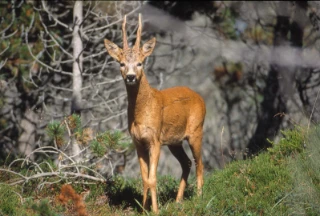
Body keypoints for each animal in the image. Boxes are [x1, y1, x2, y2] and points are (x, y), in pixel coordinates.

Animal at [104, 13, 206, 214]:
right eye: (121, 63)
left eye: (140, 63)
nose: (130, 76)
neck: (141, 114)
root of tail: (200, 98)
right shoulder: (138, 142)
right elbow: (145, 179)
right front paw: (144, 209)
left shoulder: (155, 140)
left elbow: (152, 178)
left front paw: (155, 211)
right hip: (175, 141)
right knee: (187, 162)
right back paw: (178, 200)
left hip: (196, 131)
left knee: (200, 163)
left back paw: (199, 198)